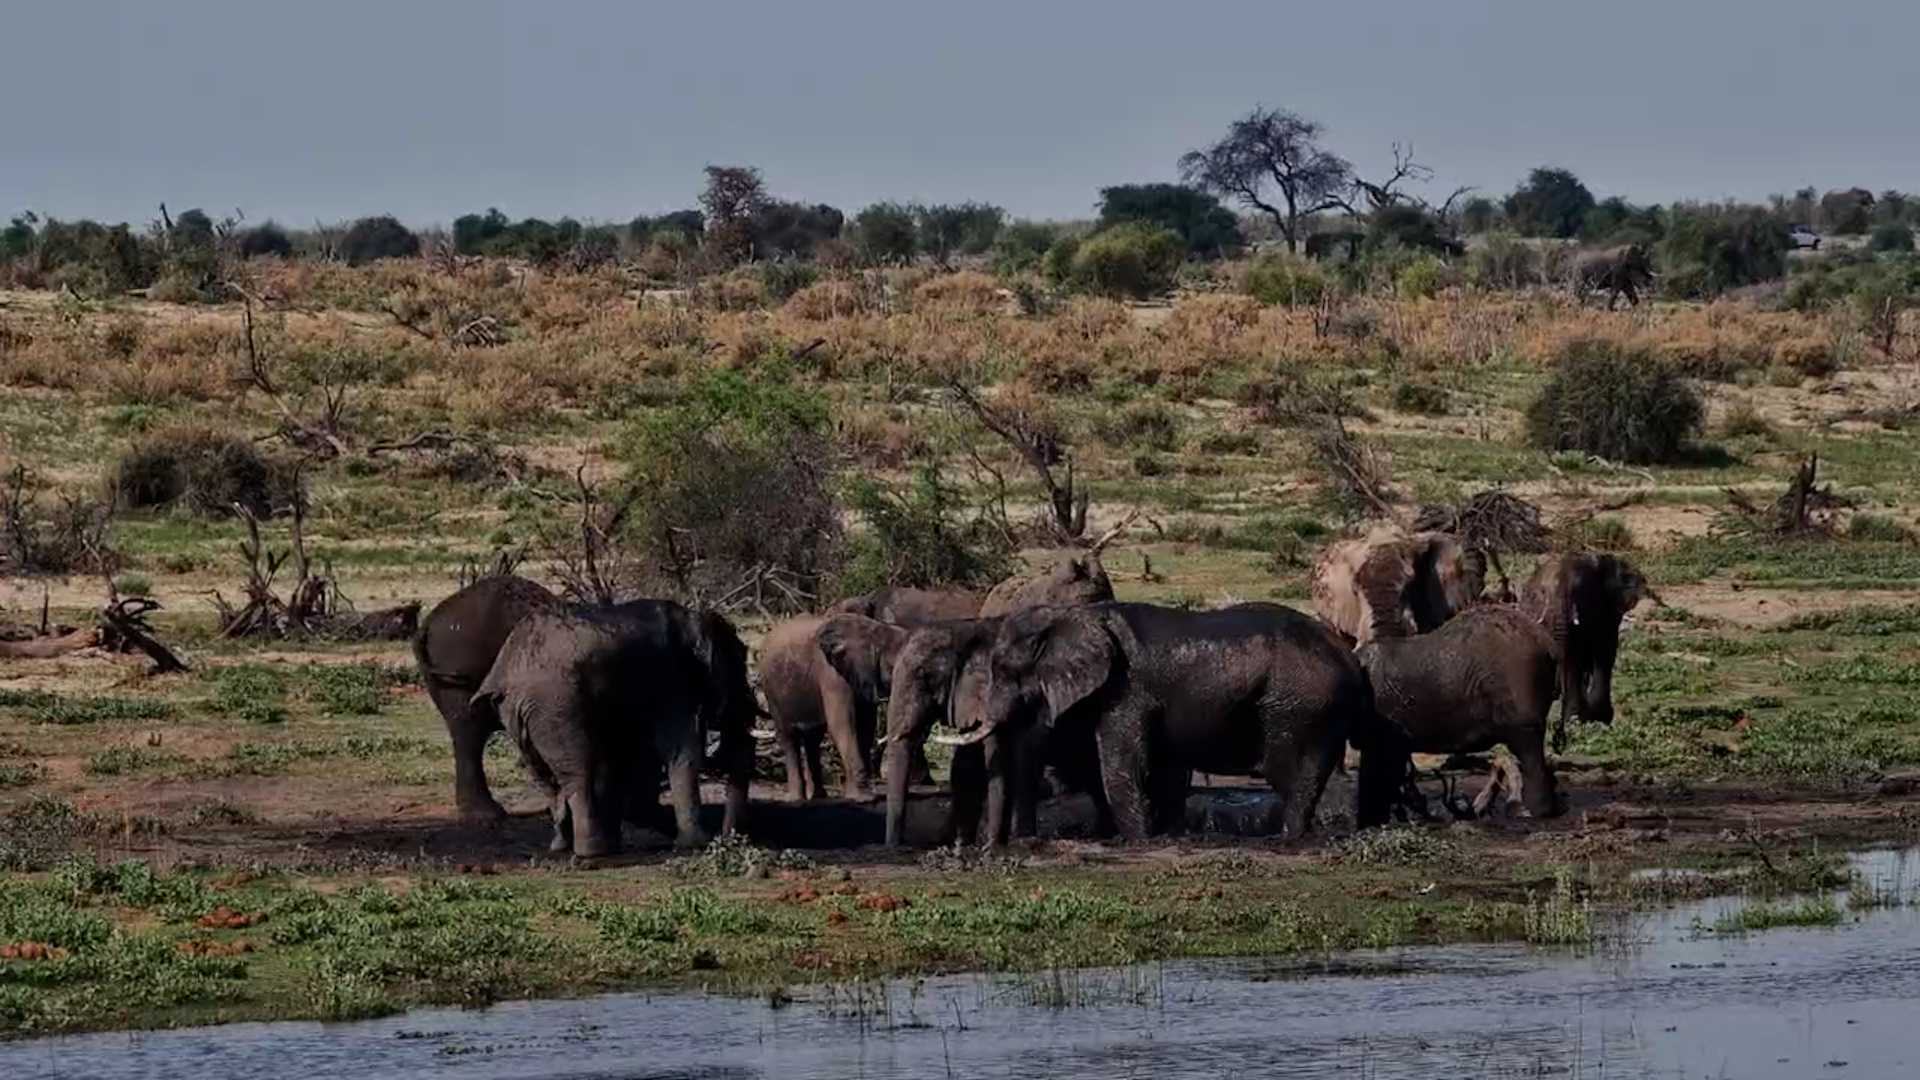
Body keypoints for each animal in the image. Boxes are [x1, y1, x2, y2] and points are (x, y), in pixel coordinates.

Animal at [469, 603, 755, 855]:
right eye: (739, 667)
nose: (726, 841)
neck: (695, 618)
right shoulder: (672, 681)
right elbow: (680, 749)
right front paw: (696, 845)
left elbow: (620, 759)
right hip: (555, 703)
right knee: (578, 772)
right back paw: (593, 853)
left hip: (521, 714)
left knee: (544, 776)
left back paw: (562, 847)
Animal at [952, 601, 1374, 843]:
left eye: (1005, 671)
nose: (991, 848)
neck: (1066, 617)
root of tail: (1352, 659)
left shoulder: (1124, 690)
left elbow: (1124, 768)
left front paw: (1140, 843)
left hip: (1303, 705)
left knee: (1290, 775)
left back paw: (1290, 840)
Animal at [1520, 552, 1651, 748]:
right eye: (1543, 595)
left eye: (1581, 591)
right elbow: (1571, 659)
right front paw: (1577, 720)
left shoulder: (1607, 611)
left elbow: (1604, 653)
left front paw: (1598, 719)